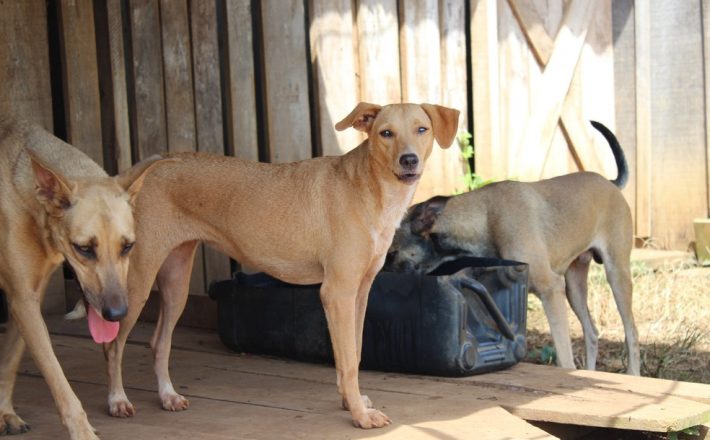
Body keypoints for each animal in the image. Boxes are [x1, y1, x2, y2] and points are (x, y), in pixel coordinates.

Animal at [386, 123, 644, 374]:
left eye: (391, 253)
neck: (484, 217)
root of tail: (611, 183)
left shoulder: (551, 290)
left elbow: (565, 360)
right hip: (574, 285)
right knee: (591, 332)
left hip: (616, 274)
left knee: (631, 332)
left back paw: (632, 373)